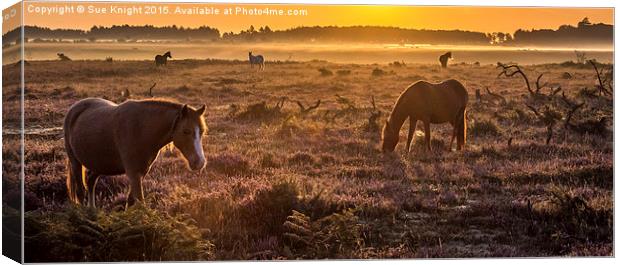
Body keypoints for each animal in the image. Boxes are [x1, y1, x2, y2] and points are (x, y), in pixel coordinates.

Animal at [64, 97, 207, 206]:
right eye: (186, 131)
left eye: (202, 131)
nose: (200, 162)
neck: (140, 129)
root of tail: (75, 108)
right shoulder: (133, 174)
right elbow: (139, 203)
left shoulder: (141, 173)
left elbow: (131, 201)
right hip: (75, 162)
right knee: (80, 192)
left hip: (100, 164)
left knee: (90, 182)